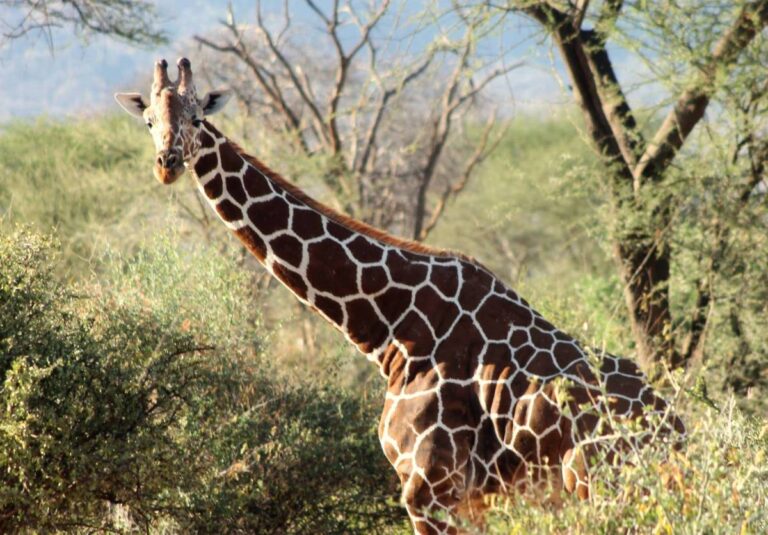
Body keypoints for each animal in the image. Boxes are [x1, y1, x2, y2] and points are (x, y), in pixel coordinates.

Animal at [115, 58, 684, 535]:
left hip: (604, 491)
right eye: (149, 122)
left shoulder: (428, 491)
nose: (167, 163)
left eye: (196, 117)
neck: (391, 328)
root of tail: (678, 429)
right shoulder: (466, 501)